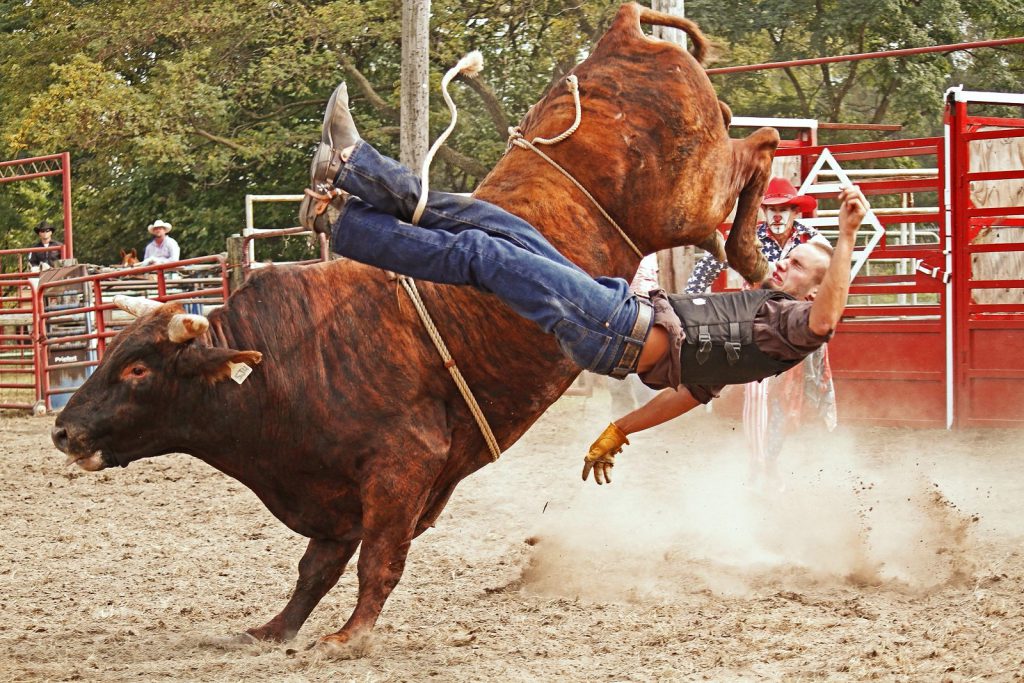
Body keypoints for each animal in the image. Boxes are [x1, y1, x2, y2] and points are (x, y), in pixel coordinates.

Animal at [51, 3, 778, 651]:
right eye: (108, 353)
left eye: (137, 368)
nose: (63, 429)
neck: (281, 362)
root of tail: (623, 33)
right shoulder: (331, 492)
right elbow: (315, 568)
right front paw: (274, 629)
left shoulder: (404, 465)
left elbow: (378, 559)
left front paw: (349, 636)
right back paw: (336, 163)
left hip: (687, 197)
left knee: (757, 149)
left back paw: (748, 250)